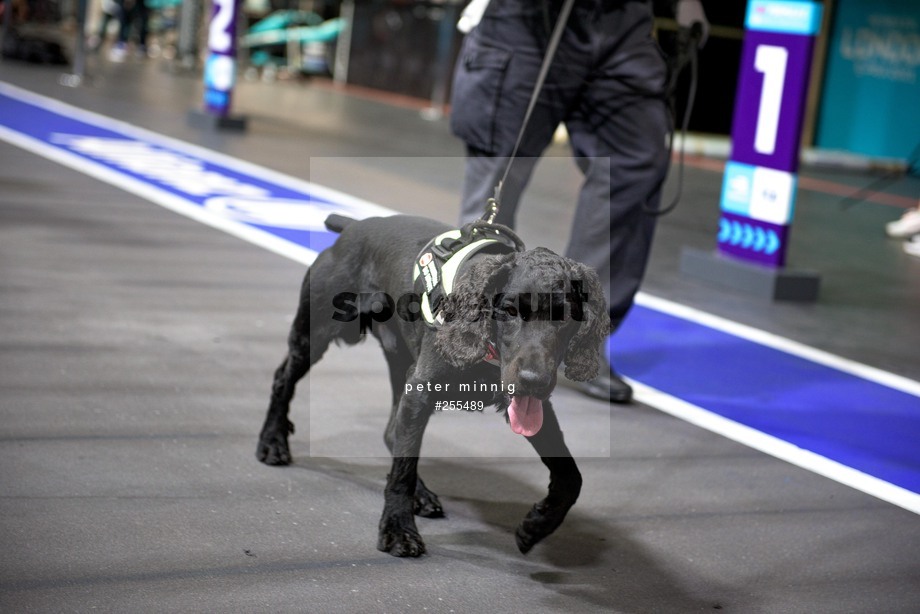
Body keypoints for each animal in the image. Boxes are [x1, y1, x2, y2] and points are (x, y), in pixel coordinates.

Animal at [255, 215, 608, 560]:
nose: (534, 380)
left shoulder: (530, 405)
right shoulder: (421, 390)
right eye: (509, 311)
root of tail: (353, 226)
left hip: (401, 361)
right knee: (283, 379)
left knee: (393, 432)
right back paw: (272, 442)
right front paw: (398, 529)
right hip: (313, 336)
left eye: (565, 317)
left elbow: (570, 475)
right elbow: (402, 472)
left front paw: (537, 525)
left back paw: (421, 494)